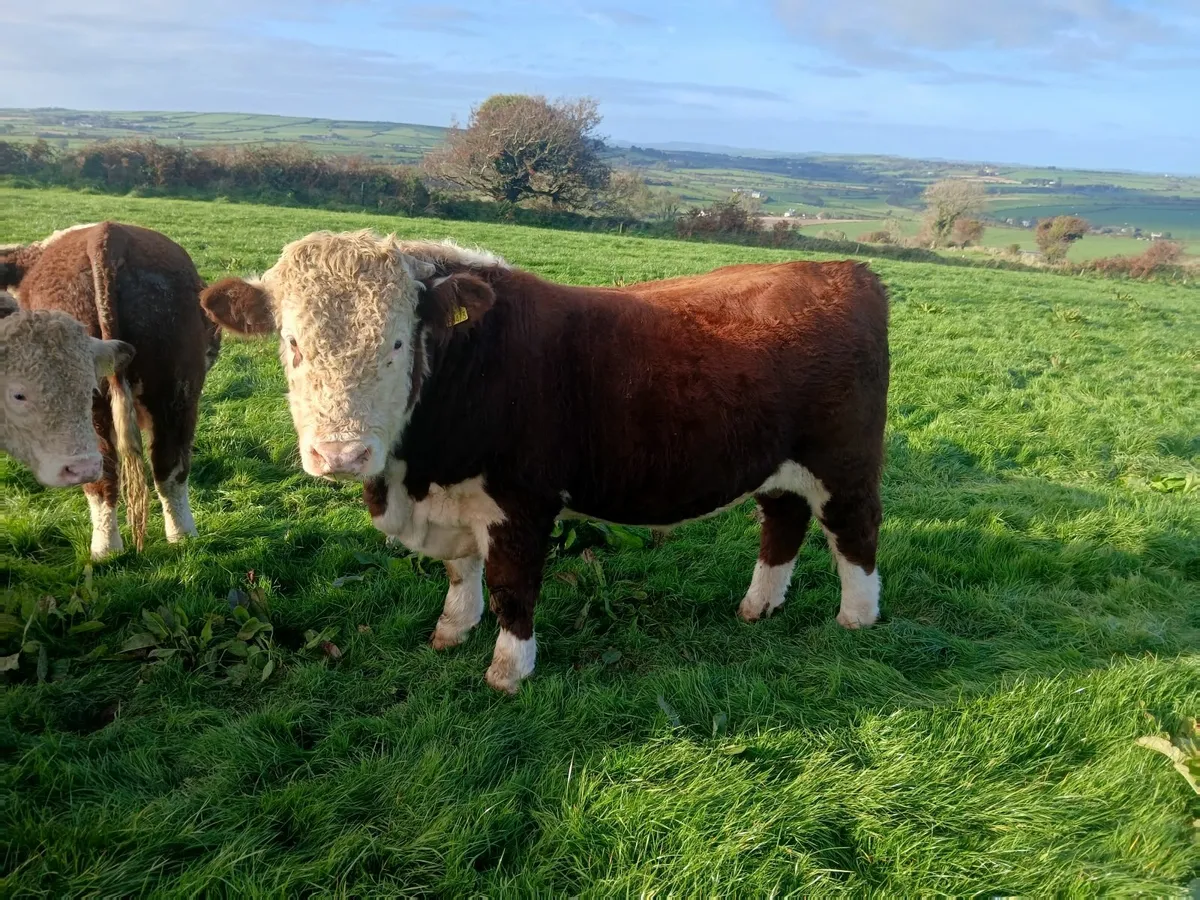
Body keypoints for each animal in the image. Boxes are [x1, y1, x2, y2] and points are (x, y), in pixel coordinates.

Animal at [199, 231, 889, 693]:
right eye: (292, 342)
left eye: (397, 342)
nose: (341, 454)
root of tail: (843, 268)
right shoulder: (455, 503)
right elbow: (461, 571)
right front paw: (452, 630)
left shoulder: (523, 501)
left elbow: (512, 584)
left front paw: (508, 670)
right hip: (775, 465)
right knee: (783, 524)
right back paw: (759, 607)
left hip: (844, 463)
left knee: (854, 532)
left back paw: (857, 618)